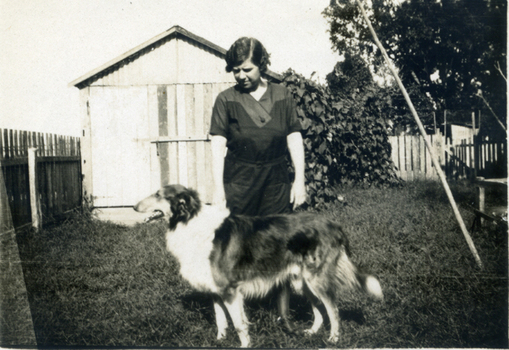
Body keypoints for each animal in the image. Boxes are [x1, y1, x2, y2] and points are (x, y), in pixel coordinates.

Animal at [134, 185, 380, 346]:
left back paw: (333, 339)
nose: (135, 207)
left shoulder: (230, 291)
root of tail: (334, 225)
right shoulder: (217, 290)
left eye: (158, 194)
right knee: (319, 308)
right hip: (303, 281)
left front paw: (244, 345)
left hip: (316, 278)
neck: (189, 221)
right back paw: (310, 333)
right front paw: (219, 341)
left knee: (333, 309)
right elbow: (221, 320)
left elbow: (239, 324)